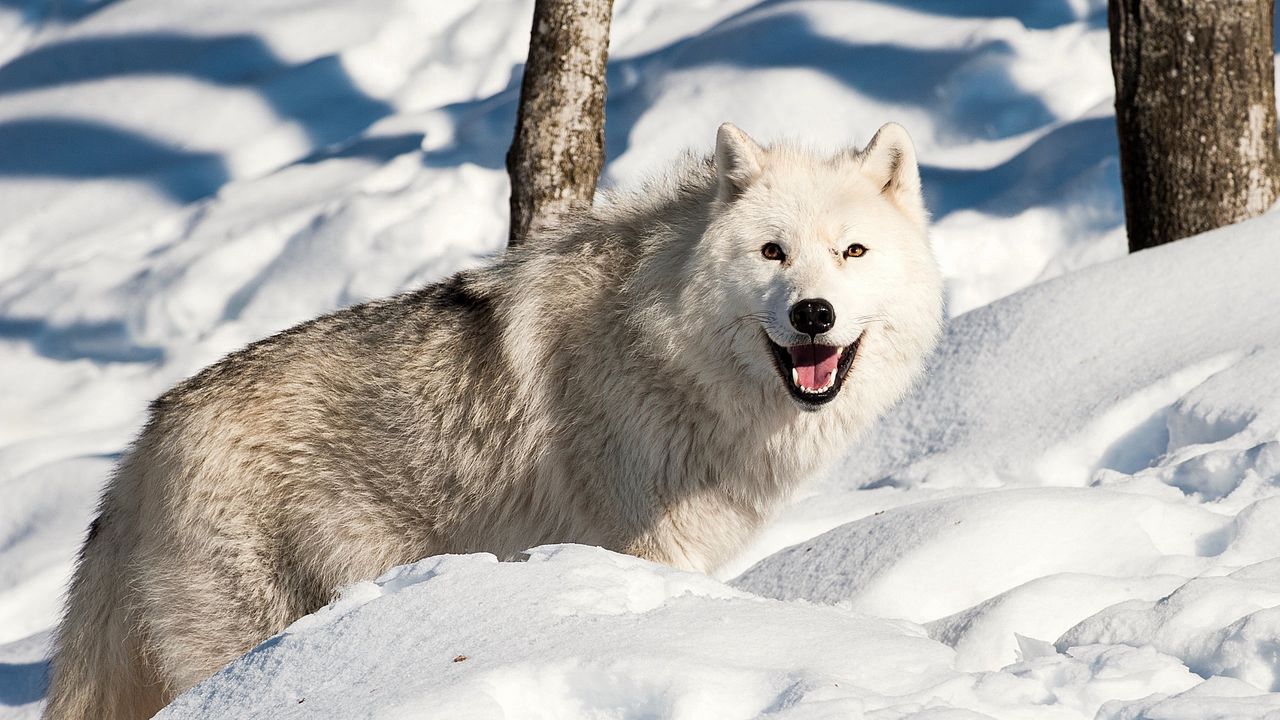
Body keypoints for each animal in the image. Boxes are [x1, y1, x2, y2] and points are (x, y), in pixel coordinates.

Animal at [45, 120, 947, 712]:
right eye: (772, 253)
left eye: (852, 252)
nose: (813, 314)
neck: (666, 348)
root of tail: (142, 443)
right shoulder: (648, 553)